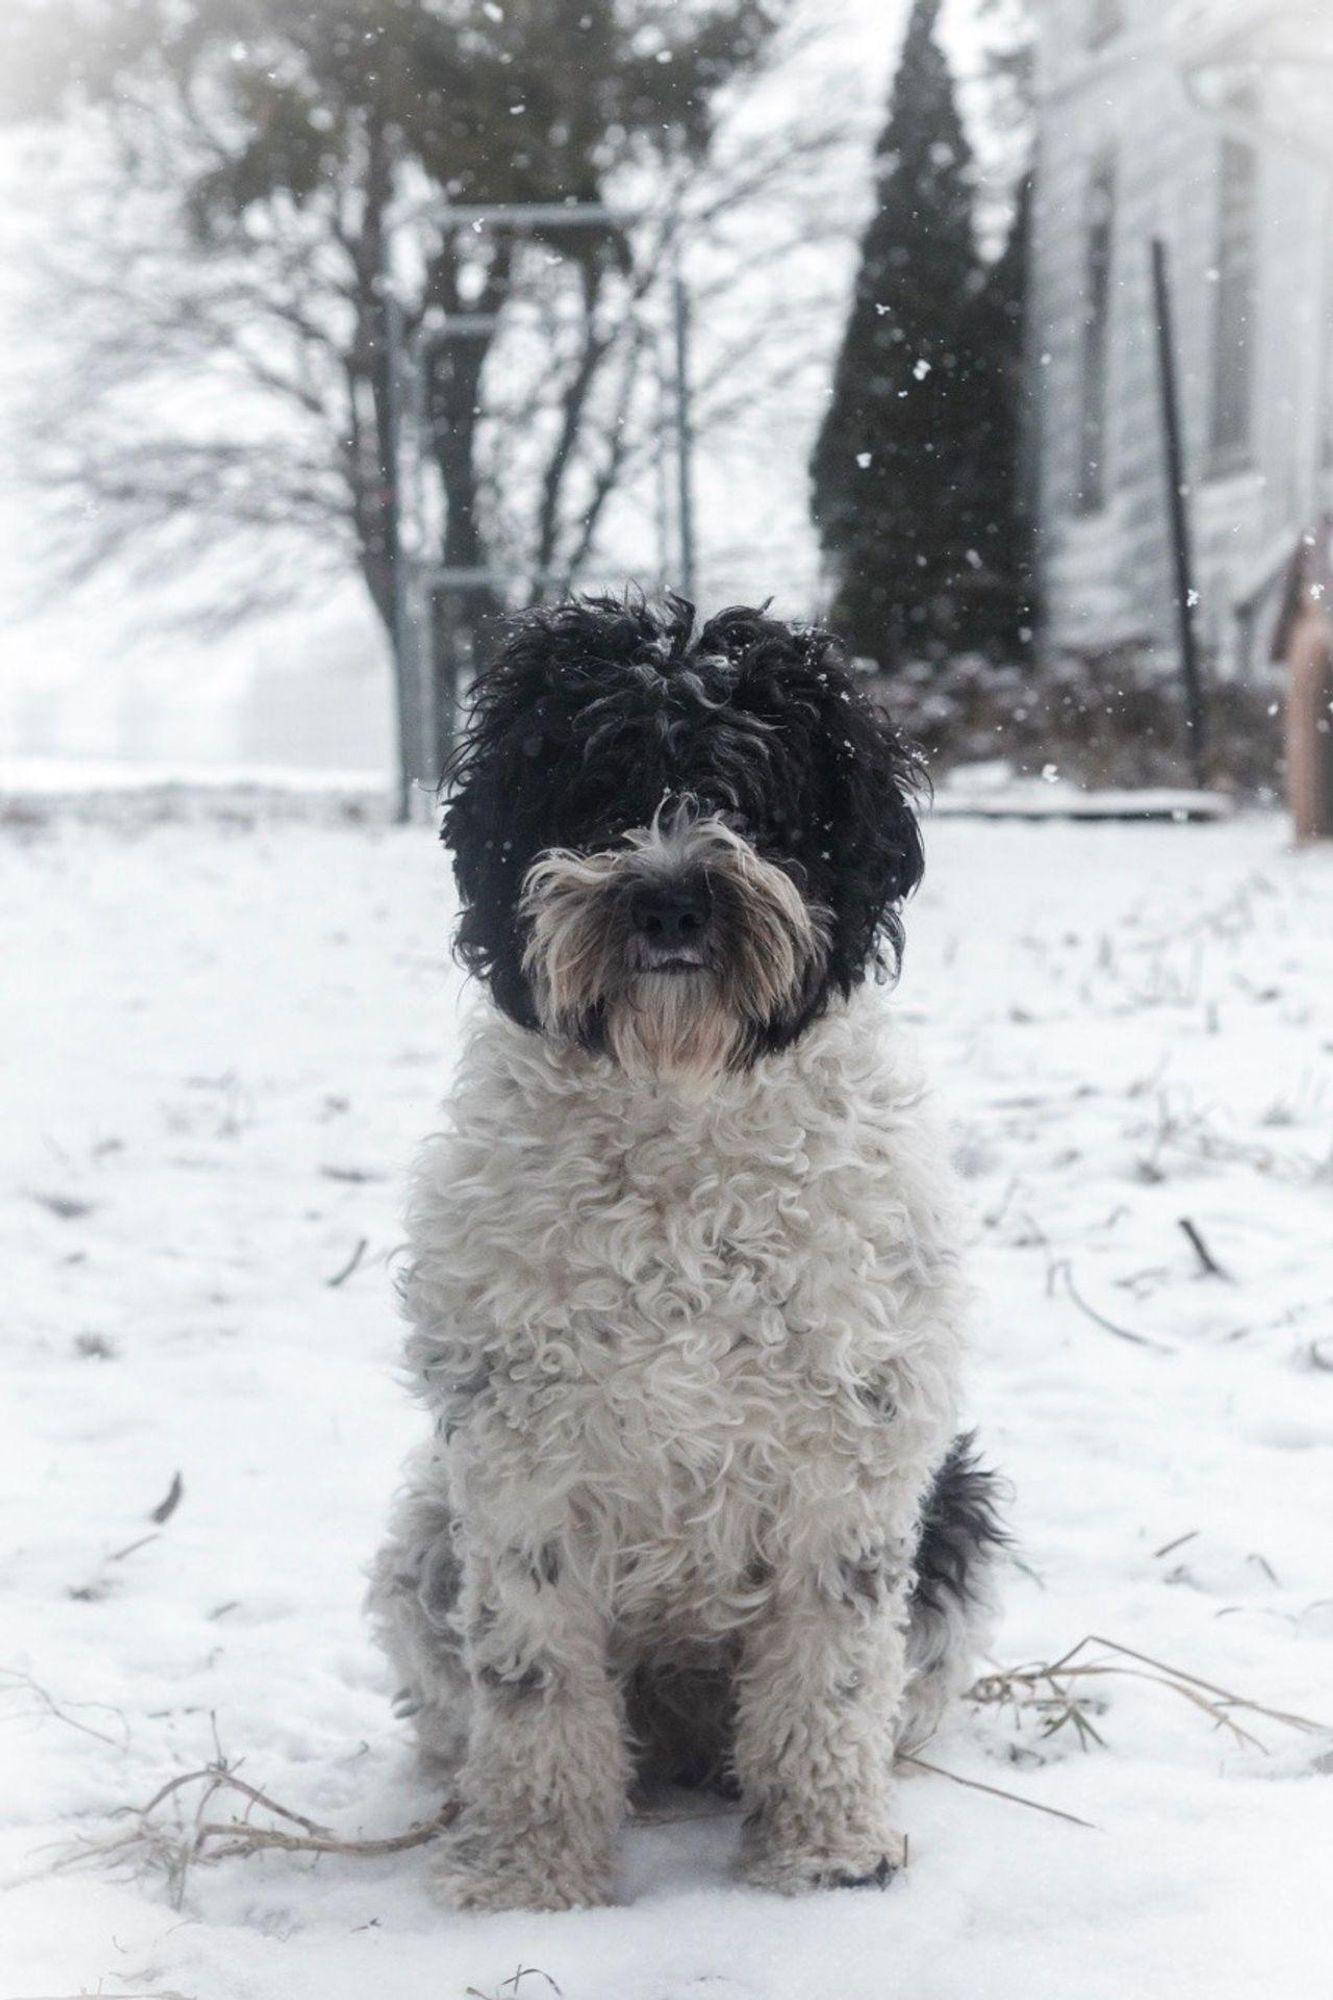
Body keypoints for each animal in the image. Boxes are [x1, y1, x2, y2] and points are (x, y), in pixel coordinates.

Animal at [368, 588, 1000, 1904]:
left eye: (749, 792)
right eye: (592, 786)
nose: (666, 901)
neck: (679, 1119)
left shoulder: (853, 1456)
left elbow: (831, 1673)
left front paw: (824, 1848)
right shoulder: (519, 1460)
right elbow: (534, 1678)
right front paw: (531, 1869)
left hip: (956, 1520)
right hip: (422, 1540)